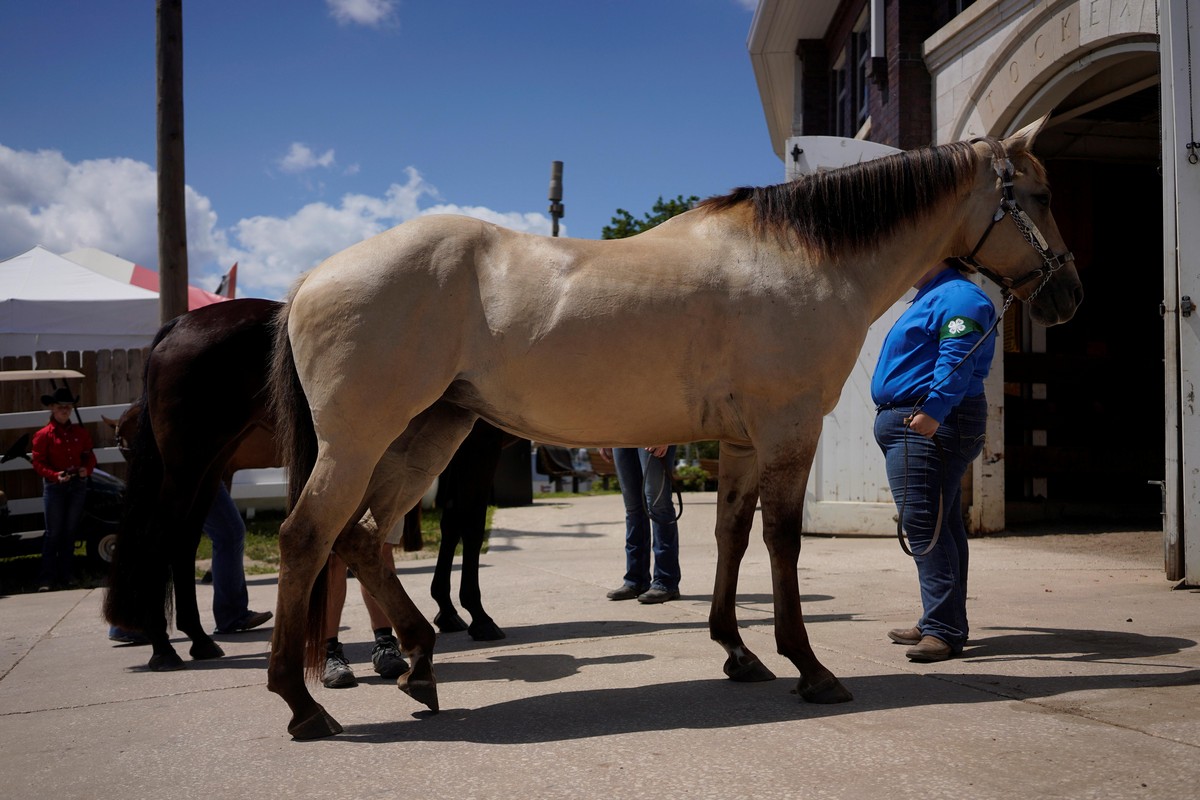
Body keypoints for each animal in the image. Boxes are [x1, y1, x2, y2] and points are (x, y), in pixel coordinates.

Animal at [267, 117, 1084, 738]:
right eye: (1039, 196)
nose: (1069, 295)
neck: (798, 257)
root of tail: (311, 277)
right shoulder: (787, 431)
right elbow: (782, 544)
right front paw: (809, 667)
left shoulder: (742, 442)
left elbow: (729, 536)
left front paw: (738, 653)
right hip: (362, 442)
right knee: (308, 539)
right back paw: (304, 704)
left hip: (429, 434)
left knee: (361, 541)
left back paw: (419, 665)